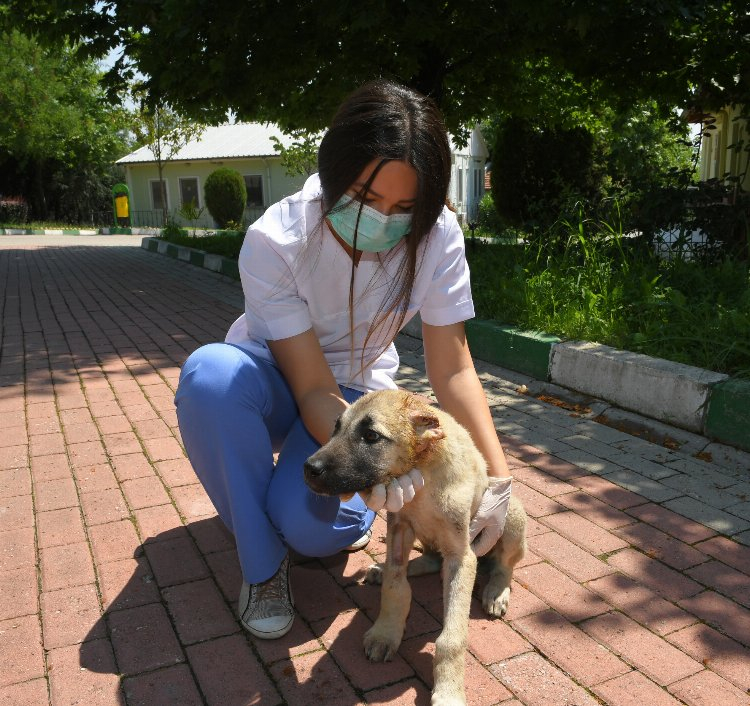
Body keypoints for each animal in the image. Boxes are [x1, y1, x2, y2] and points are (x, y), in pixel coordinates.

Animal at [306, 388, 528, 700]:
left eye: (371, 436)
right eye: (336, 427)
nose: (308, 468)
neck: (425, 475)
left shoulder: (462, 556)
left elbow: (452, 637)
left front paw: (448, 692)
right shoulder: (399, 528)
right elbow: (395, 587)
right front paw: (386, 632)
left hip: (511, 519)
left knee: (504, 566)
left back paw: (497, 592)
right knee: (430, 560)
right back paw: (381, 569)